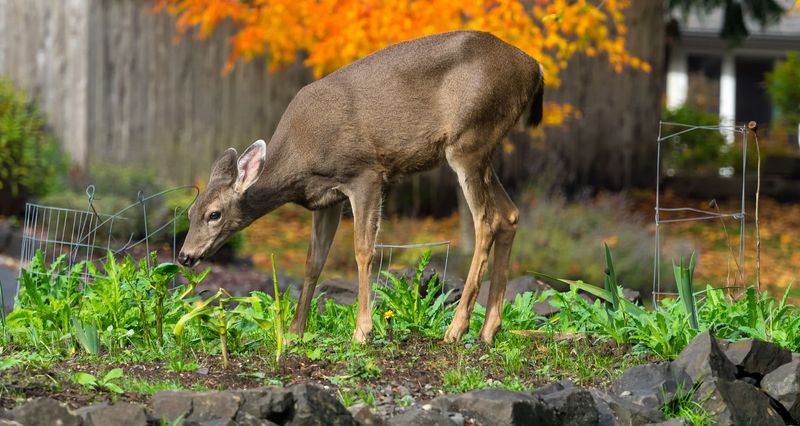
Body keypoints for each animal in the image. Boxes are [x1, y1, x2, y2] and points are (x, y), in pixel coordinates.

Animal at [179, 29, 548, 342]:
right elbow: (314, 260)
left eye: (214, 214)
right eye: (190, 212)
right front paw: (296, 331)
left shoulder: (366, 173)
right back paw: (488, 330)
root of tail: (534, 68)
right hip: (483, 148)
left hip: (468, 139)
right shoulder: (325, 199)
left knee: (486, 220)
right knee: (510, 215)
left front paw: (363, 331)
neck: (300, 160)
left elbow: (363, 251)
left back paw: (456, 329)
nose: (184, 256)